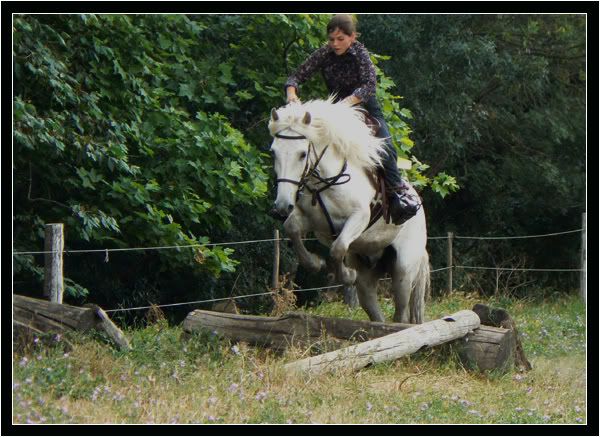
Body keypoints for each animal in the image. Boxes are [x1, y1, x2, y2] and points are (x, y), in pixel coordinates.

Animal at [268, 99, 432, 324]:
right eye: (273, 152)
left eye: (302, 154)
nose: (282, 205)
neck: (324, 183)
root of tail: (420, 210)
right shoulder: (311, 220)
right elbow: (291, 228)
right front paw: (315, 263)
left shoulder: (358, 218)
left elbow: (338, 248)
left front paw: (346, 275)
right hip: (369, 276)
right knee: (374, 309)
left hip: (404, 271)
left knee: (402, 314)